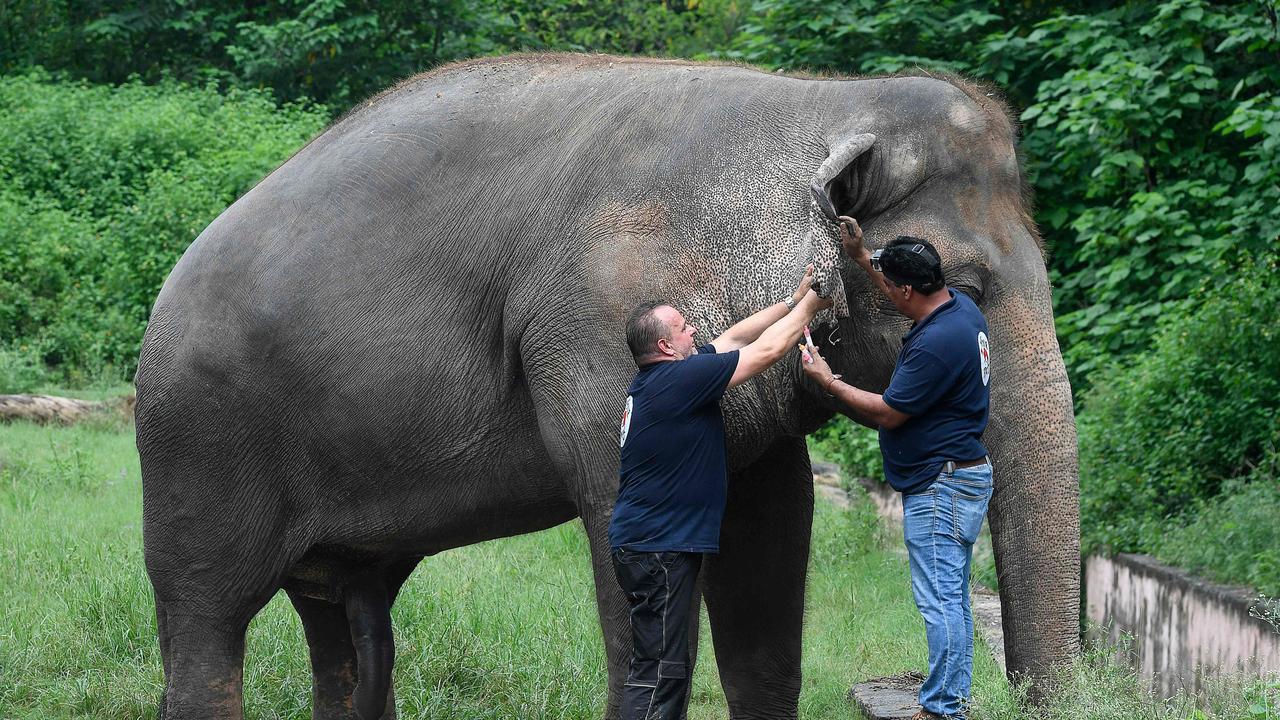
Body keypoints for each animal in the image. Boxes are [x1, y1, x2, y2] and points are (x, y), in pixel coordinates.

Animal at [135, 53, 1080, 712]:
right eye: (962, 284)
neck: (818, 102)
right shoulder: (597, 323)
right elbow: (638, 548)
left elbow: (773, 535)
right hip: (198, 442)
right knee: (207, 617)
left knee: (346, 621)